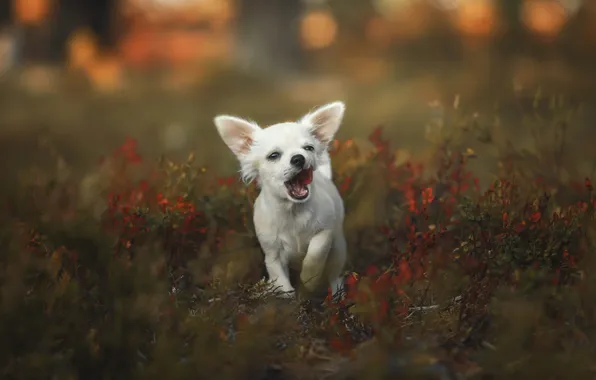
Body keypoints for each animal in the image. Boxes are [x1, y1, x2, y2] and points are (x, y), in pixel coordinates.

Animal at [213, 102, 346, 298]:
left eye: (309, 148)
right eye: (274, 156)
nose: (299, 158)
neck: (293, 211)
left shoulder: (325, 232)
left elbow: (315, 253)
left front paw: (310, 279)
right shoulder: (272, 254)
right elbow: (280, 280)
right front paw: (286, 295)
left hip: (338, 247)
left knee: (335, 273)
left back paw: (338, 295)